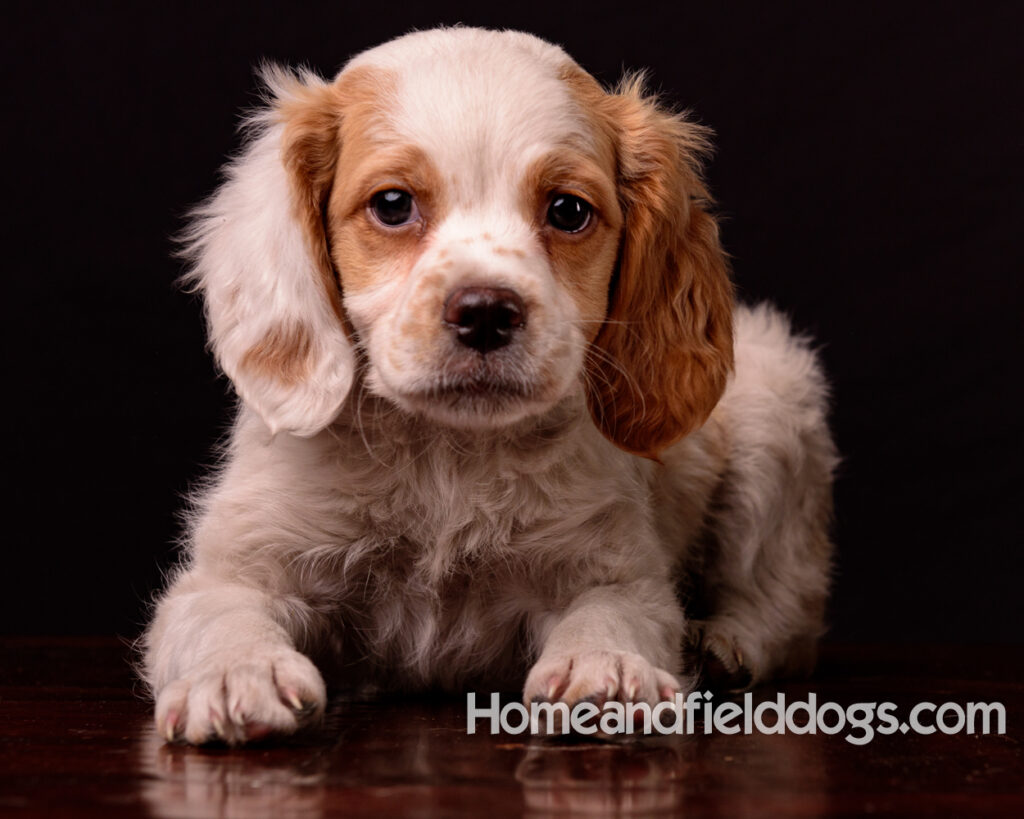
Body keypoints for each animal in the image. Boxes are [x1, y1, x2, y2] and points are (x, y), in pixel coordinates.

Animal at [146, 25, 839, 745]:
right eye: (392, 204)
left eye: (568, 210)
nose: (484, 310)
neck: (448, 455)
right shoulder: (236, 566)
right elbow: (223, 614)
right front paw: (237, 673)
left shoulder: (614, 568)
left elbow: (611, 612)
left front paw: (605, 666)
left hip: (773, 412)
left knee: (785, 611)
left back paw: (723, 642)